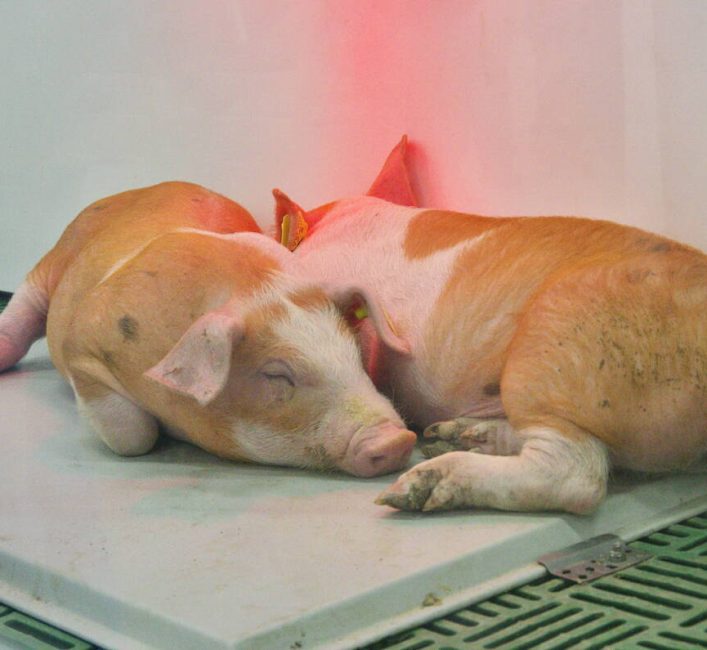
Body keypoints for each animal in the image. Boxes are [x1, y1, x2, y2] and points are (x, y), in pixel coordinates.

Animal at [0, 181, 416, 476]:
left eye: (356, 354)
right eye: (276, 374)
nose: (398, 439)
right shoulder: (82, 342)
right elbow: (133, 436)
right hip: (52, 261)